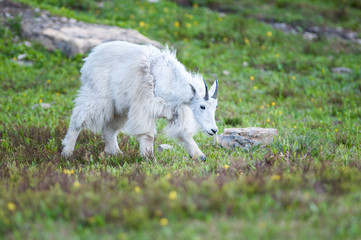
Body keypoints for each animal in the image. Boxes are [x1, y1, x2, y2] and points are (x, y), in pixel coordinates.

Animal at [60, 41, 218, 161]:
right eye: (202, 106)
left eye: (215, 107)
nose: (214, 130)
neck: (168, 79)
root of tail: (89, 59)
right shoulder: (144, 106)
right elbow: (147, 134)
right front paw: (148, 157)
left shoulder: (176, 110)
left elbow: (185, 133)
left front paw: (199, 156)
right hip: (97, 96)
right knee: (78, 119)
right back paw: (67, 152)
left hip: (120, 107)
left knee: (109, 128)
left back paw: (116, 153)